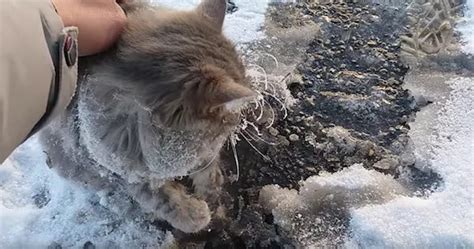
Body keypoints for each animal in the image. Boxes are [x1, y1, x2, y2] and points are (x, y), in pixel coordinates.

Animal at [39, 0, 256, 233]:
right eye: (229, 121)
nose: (238, 121)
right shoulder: (114, 168)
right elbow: (159, 198)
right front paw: (193, 215)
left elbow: (207, 165)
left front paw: (211, 186)